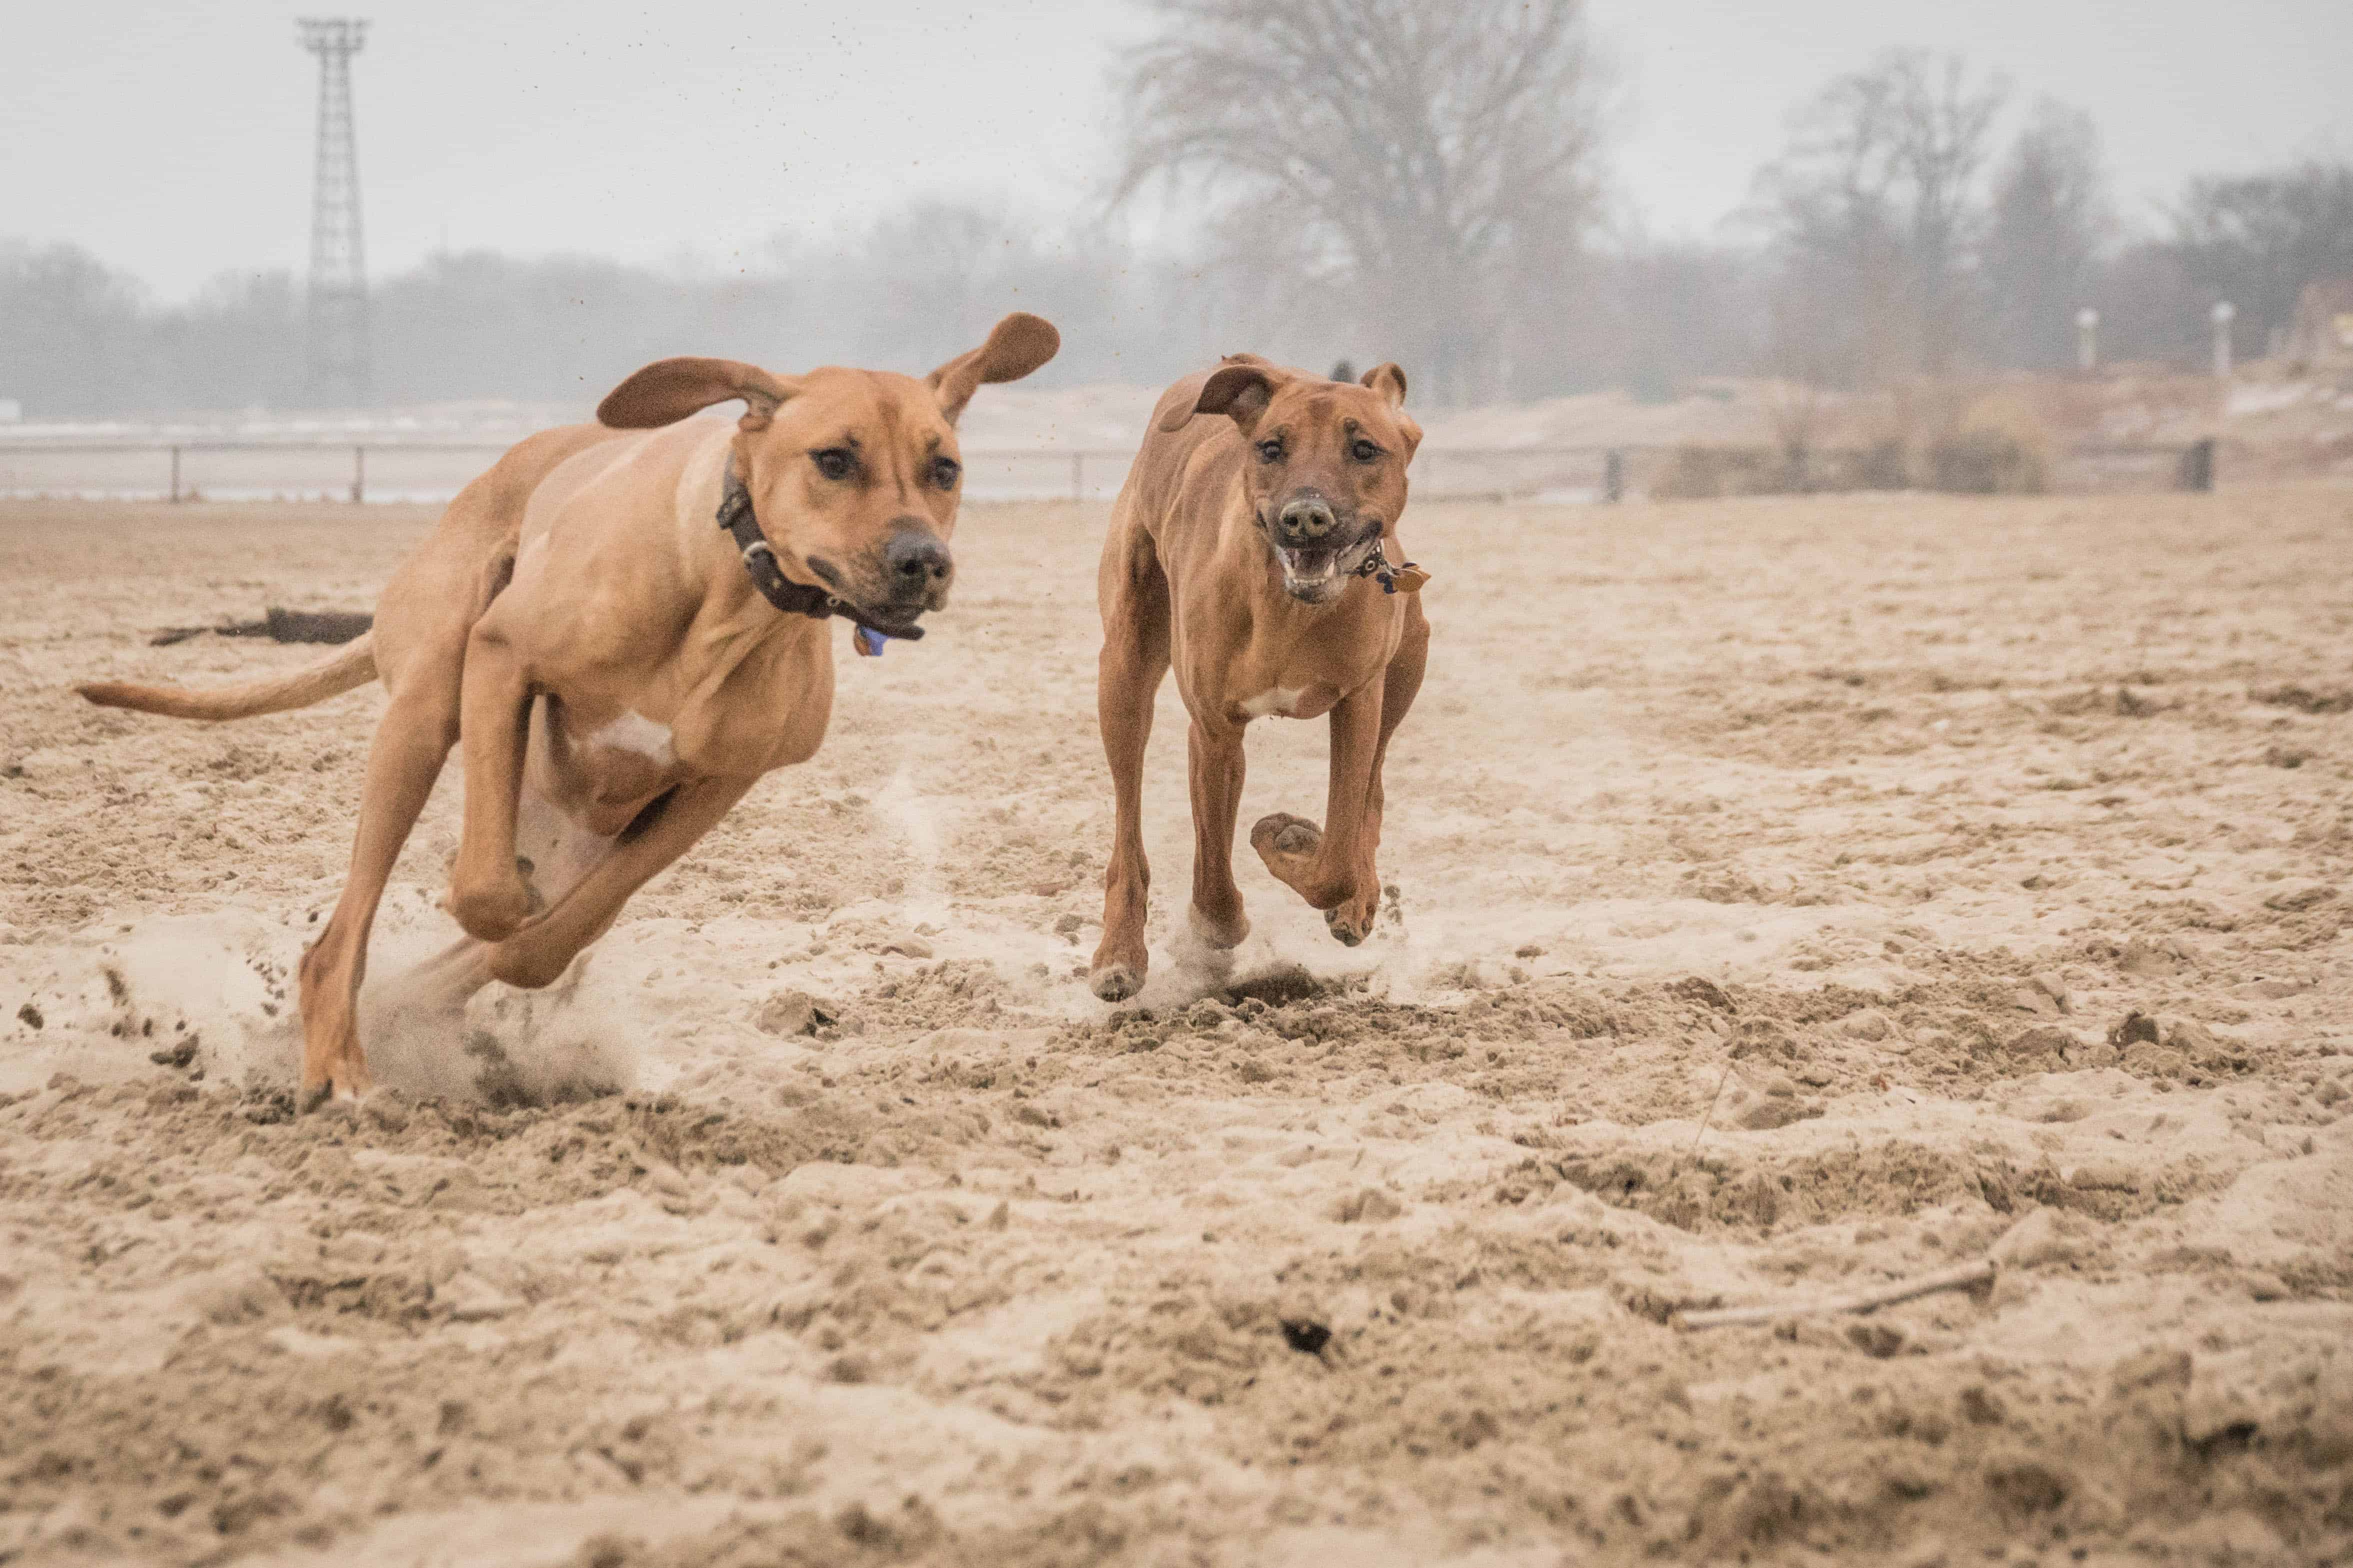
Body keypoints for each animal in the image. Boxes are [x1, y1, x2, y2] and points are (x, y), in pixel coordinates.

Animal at [80, 312, 1058, 1105]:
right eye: (833, 460)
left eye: (944, 468)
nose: (922, 560)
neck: (728, 592)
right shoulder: (503, 661)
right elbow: (484, 894)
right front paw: (488, 915)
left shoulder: (721, 781)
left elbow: (561, 932)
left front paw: (507, 962)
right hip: (428, 705)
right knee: (340, 937)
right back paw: (340, 1067)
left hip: (575, 817)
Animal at [1087, 352, 1430, 1006]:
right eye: (1272, 448)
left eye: (1364, 449)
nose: (1305, 517)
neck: (1288, 606)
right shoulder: (1215, 728)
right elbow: (1214, 879)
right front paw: (1213, 929)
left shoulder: (1359, 699)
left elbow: (1339, 854)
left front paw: (1296, 843)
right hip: (1122, 669)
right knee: (1126, 819)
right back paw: (1119, 952)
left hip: (1409, 662)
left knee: (1373, 789)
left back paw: (1360, 897)